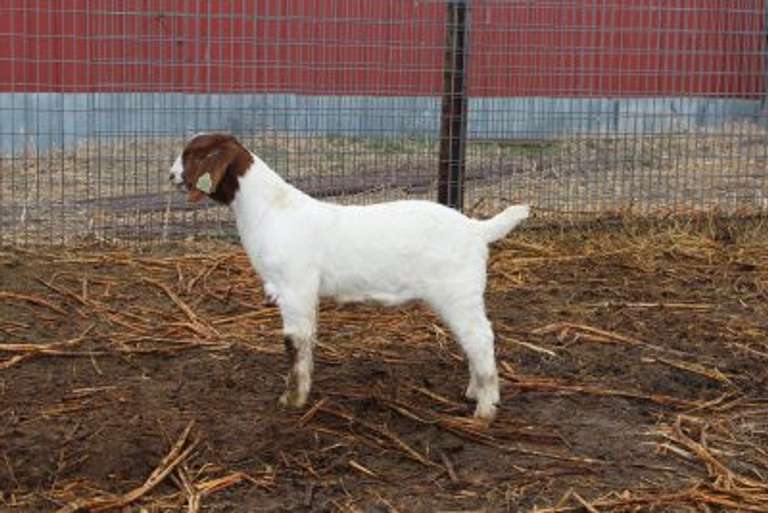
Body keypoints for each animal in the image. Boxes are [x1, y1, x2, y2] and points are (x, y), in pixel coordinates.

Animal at [169, 133, 529, 421]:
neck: (271, 209)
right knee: (473, 340)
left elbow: (294, 343)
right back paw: (473, 391)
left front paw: (292, 400)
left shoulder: (295, 287)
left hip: (458, 291)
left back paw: (485, 409)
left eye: (192, 155)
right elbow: (308, 341)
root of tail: (476, 229)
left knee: (481, 338)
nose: (171, 175)